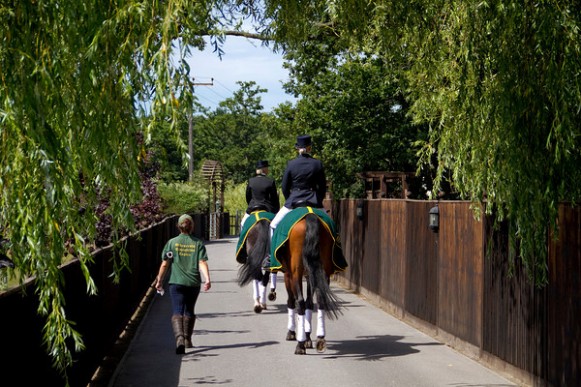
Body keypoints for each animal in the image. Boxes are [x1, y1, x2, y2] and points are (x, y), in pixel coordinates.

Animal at [274, 212, 342, 354]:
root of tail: (310, 216)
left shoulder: (289, 275)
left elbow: (292, 302)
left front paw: (293, 334)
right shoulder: (310, 274)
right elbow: (309, 303)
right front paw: (308, 338)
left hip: (296, 273)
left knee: (299, 302)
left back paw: (299, 345)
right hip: (322, 271)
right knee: (320, 300)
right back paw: (320, 339)